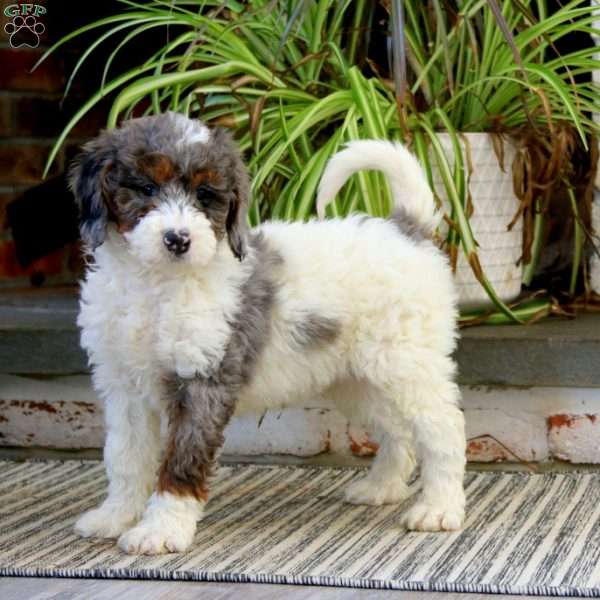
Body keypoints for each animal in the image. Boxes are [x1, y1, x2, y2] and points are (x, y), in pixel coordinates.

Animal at [69, 111, 464, 552]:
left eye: (204, 194)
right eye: (146, 188)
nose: (178, 239)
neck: (157, 286)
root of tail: (404, 228)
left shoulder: (203, 381)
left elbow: (182, 461)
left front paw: (161, 530)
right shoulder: (124, 388)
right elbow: (124, 457)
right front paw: (115, 516)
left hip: (407, 365)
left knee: (443, 428)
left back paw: (440, 509)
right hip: (358, 380)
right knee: (397, 429)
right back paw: (381, 487)